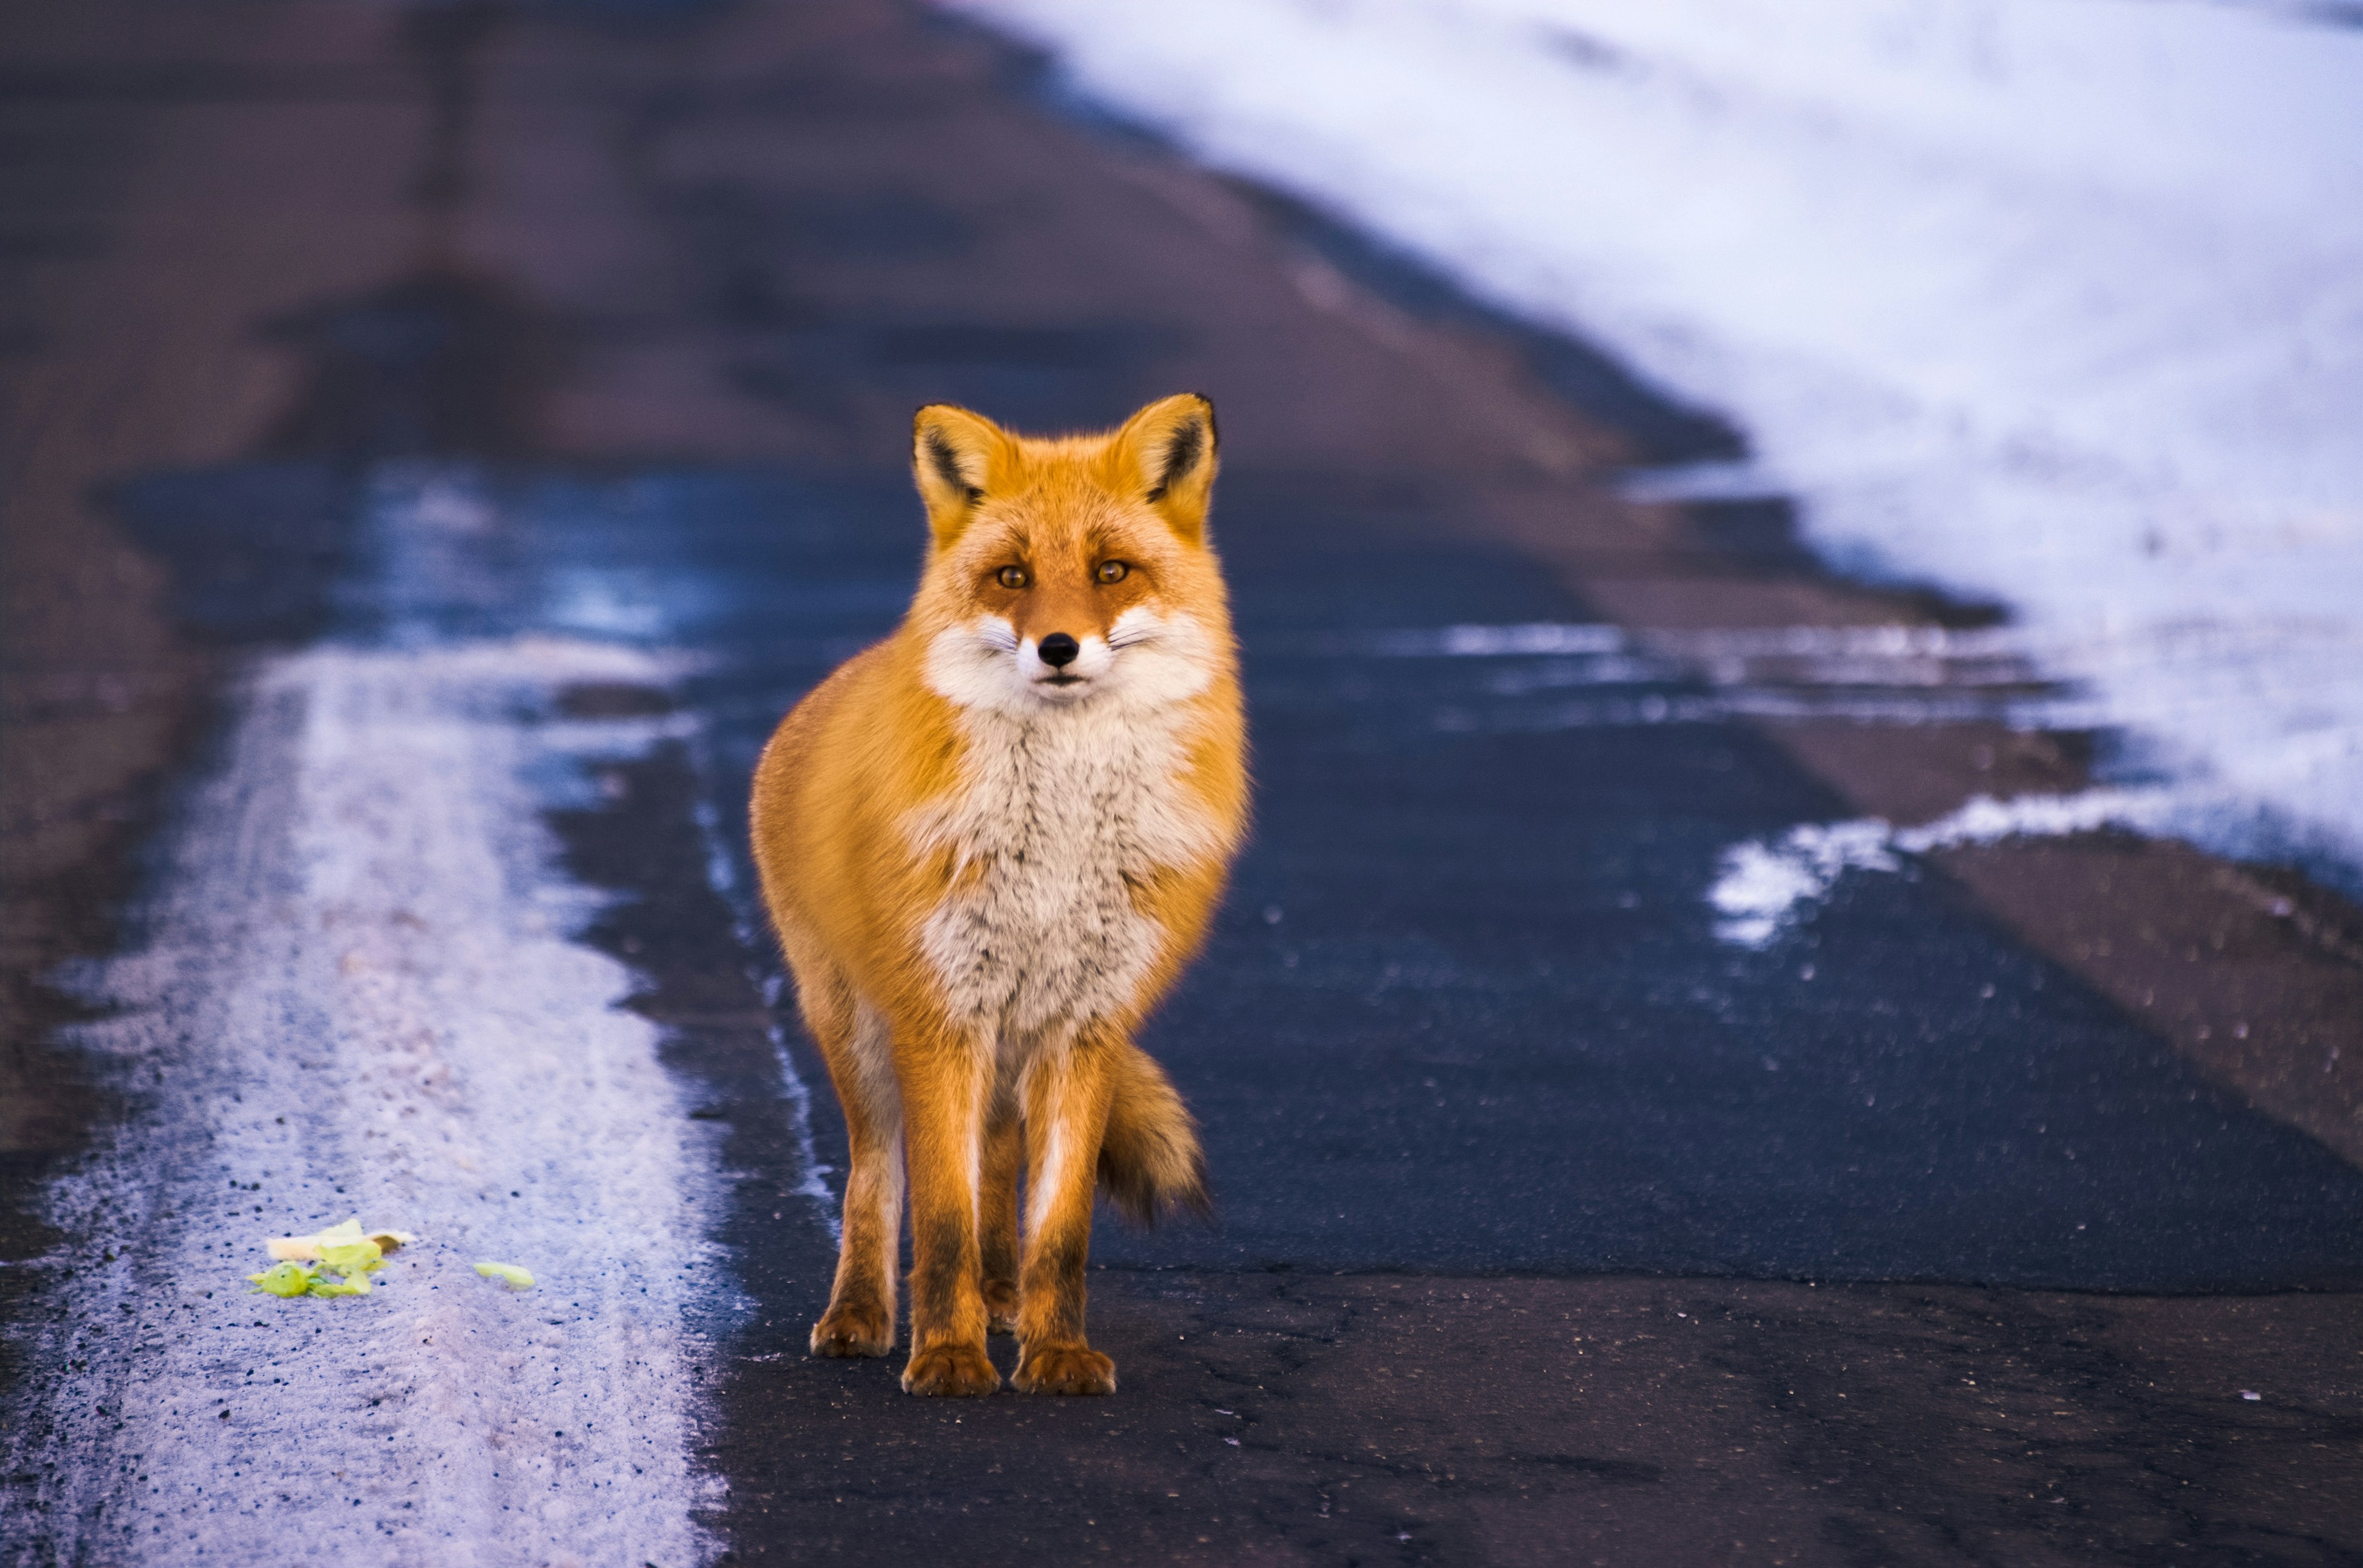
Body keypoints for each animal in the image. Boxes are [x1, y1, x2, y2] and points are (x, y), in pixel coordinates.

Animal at [746, 392, 1247, 1398]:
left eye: (1111, 571)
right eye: (1012, 576)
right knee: (874, 1175)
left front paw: (1054, 1354)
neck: (1057, 845)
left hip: (1010, 1052)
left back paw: (1003, 1297)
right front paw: (947, 1356)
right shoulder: (939, 1017)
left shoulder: (1085, 1026)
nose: (1058, 648)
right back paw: (863, 1315)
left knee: (999, 1169)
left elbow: (1058, 1228)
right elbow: (939, 1221)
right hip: (858, 1033)